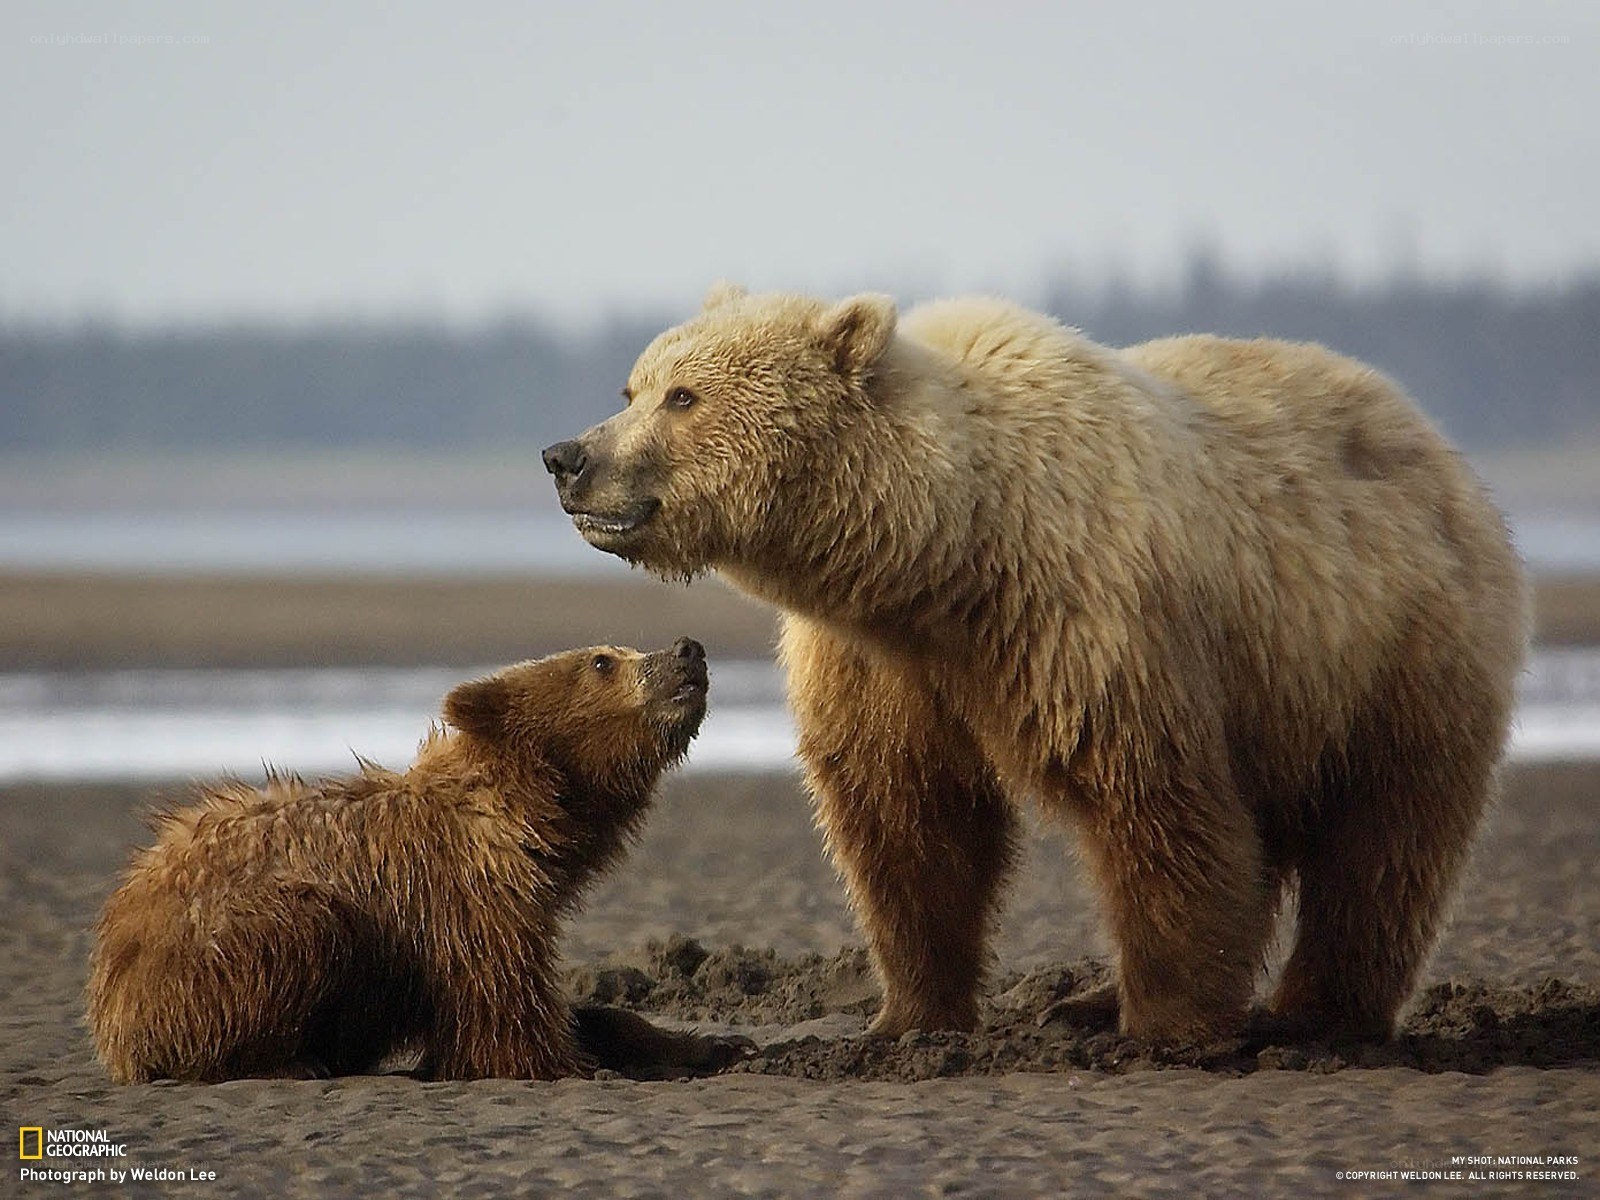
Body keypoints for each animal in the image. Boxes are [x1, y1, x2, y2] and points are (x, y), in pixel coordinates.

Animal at [87, 639, 730, 1082]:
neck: (526, 813)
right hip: (207, 954)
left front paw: (705, 1044)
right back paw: (285, 1061)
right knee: (306, 928)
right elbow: (507, 1023)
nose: (687, 650)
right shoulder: (460, 898)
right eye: (601, 661)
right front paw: (607, 1066)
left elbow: (582, 1013)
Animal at [542, 285, 1528, 1045]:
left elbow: (1156, 808)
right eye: (632, 384)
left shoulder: (1091, 621)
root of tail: (1438, 445)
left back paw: (1314, 1014)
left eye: (683, 396)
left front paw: (1167, 1025)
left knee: (1383, 843)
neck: (945, 556)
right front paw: (907, 1016)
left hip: (1395, 650)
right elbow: (905, 823)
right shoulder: (878, 662)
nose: (567, 456)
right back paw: (1093, 1002)